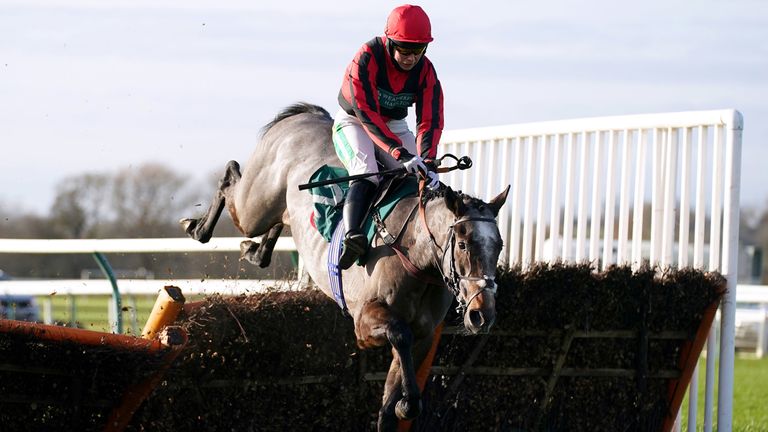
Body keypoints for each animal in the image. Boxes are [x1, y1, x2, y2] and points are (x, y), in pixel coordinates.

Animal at [180, 103, 510, 430]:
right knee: (231, 180)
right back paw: (196, 226)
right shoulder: (364, 321)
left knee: (274, 227)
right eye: (464, 244)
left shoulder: (425, 334)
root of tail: (306, 116)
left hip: (277, 210)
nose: (483, 315)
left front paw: (404, 404)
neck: (417, 259)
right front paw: (408, 402)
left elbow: (390, 404)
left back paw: (254, 250)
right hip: (253, 207)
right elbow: (399, 334)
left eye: (499, 246)